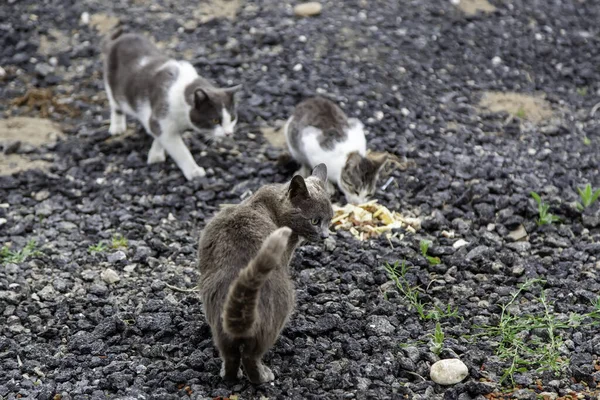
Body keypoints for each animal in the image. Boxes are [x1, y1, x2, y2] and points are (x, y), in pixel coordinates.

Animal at [102, 30, 240, 180]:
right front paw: (194, 172)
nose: (228, 133)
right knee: (115, 105)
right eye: (215, 120)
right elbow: (180, 150)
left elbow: (158, 136)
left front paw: (156, 154)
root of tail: (121, 38)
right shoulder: (161, 116)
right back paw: (117, 127)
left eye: (232, 118)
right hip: (111, 84)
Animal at [200, 164, 332, 382]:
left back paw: (228, 374)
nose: (325, 236)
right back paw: (264, 377)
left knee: (231, 356)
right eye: (314, 221)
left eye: (330, 220)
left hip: (219, 323)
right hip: (278, 312)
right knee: (251, 356)